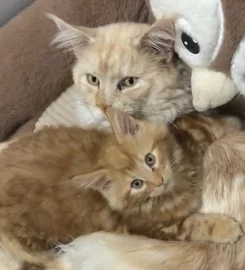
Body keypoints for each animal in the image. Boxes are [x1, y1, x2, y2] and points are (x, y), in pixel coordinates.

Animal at [0, 107, 242, 270]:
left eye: (150, 159)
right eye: (136, 184)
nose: (159, 181)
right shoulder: (156, 228)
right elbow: (193, 225)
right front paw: (227, 228)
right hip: (32, 244)